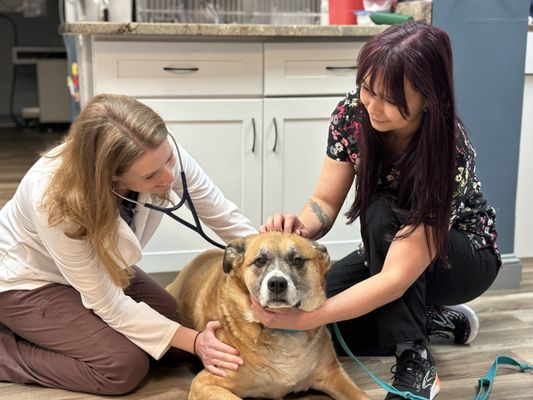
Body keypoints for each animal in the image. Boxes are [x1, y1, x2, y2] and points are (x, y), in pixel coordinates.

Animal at [165, 231, 366, 400]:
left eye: (297, 260)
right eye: (260, 261)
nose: (277, 283)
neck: (283, 334)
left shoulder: (333, 373)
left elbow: (361, 395)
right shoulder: (205, 382)